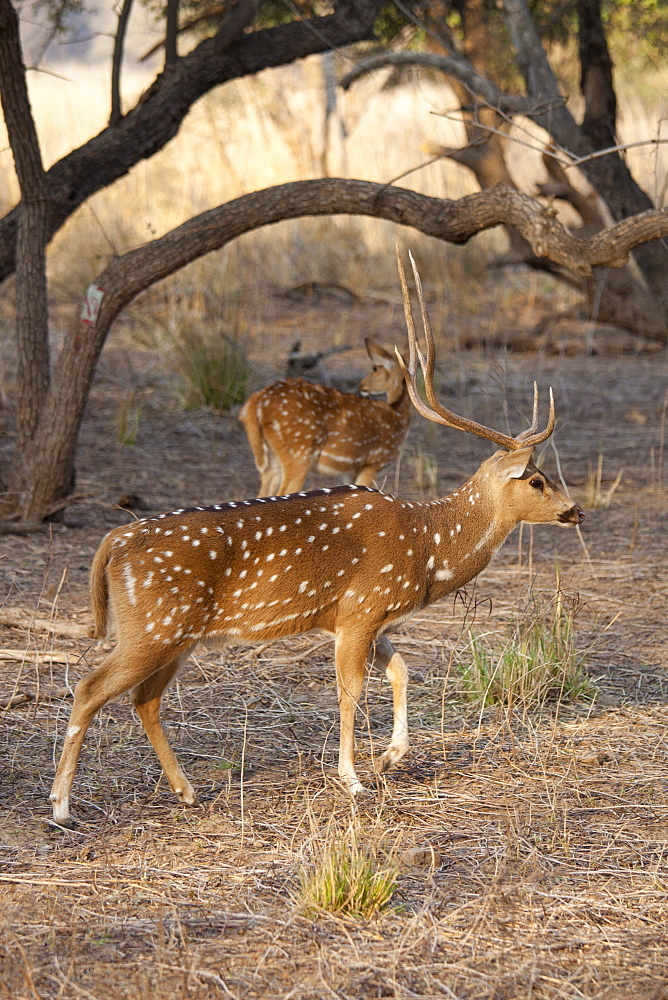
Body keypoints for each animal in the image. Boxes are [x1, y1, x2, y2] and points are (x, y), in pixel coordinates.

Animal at [237, 338, 410, 498]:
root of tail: (255, 403)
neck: (398, 415)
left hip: (271, 460)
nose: (361, 386)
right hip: (299, 453)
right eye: (374, 367)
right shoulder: (374, 463)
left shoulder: (351, 470)